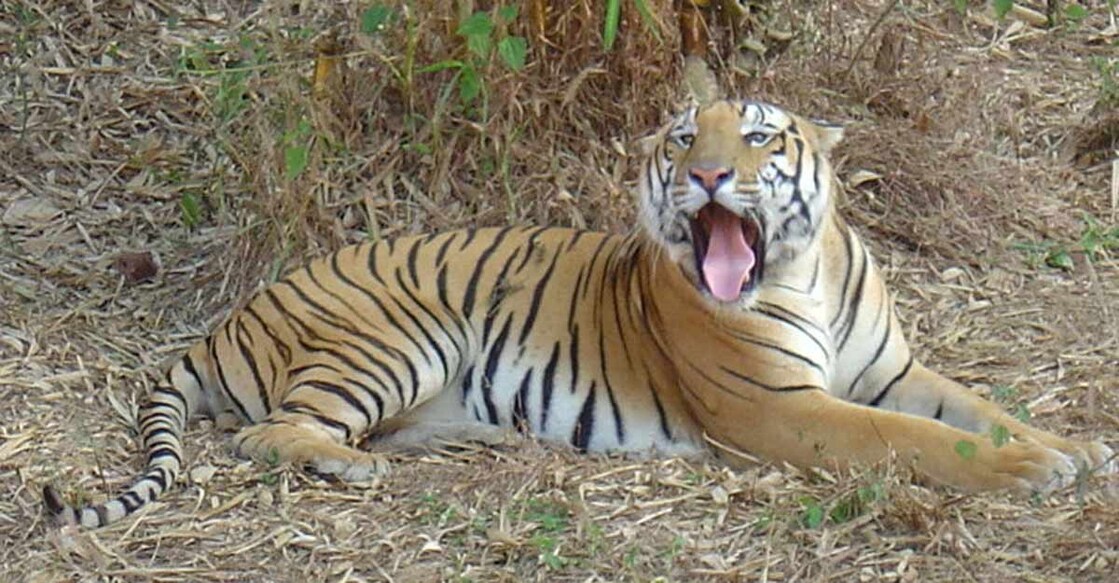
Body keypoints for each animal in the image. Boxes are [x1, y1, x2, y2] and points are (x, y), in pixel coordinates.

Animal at [44, 99, 1115, 528]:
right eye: (683, 137)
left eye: (758, 137)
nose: (705, 175)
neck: (799, 268)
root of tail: (227, 318)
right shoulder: (783, 408)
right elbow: (917, 440)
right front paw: (1032, 470)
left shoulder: (893, 369)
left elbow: (979, 411)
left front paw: (1072, 445)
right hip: (397, 334)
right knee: (268, 433)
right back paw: (352, 466)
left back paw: (469, 441)